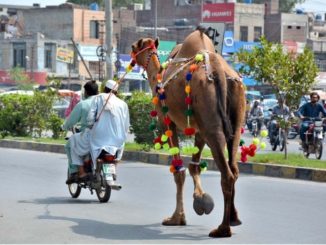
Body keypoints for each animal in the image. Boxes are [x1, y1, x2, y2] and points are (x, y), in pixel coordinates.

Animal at [131, 28, 246, 237]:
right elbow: (194, 166)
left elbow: (179, 172)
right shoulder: (198, 128)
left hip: (211, 120)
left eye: (134, 46)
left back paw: (222, 229)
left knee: (227, 174)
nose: (132, 56)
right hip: (235, 116)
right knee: (234, 168)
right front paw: (201, 201)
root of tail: (219, 72)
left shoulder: (167, 122)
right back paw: (234, 219)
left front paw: (177, 218)